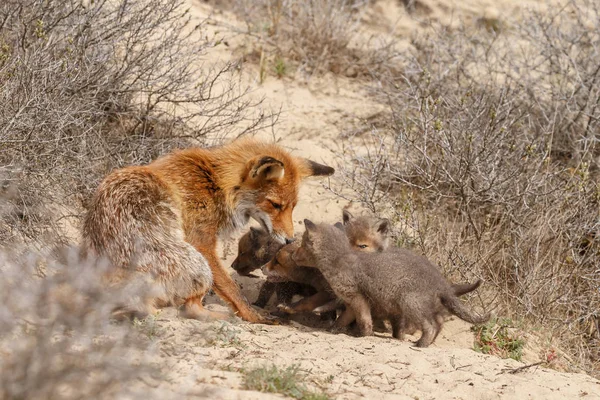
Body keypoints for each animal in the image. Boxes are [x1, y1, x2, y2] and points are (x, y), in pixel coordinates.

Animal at [82, 136, 336, 324]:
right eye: (275, 205)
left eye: (292, 206)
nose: (289, 240)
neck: (215, 183)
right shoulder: (202, 242)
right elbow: (232, 288)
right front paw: (253, 316)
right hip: (198, 263)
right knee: (189, 309)